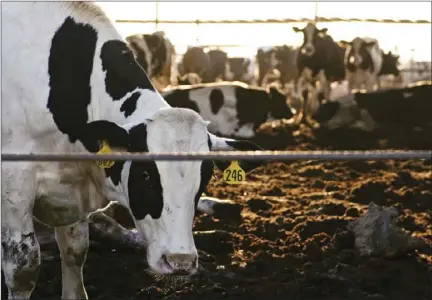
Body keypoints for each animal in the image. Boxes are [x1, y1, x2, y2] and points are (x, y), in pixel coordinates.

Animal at [1, 1, 262, 298]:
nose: (180, 261)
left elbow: (75, 250)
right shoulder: (15, 183)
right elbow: (23, 268)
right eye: (146, 174)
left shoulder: (71, 188)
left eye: (205, 178)